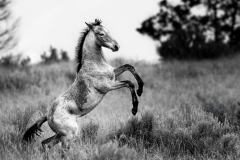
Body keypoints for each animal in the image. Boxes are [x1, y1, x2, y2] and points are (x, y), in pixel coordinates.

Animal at [23, 18, 144, 154]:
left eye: (108, 31)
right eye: (101, 33)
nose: (116, 46)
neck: (94, 65)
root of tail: (48, 116)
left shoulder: (113, 74)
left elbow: (129, 67)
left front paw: (141, 88)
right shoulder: (109, 86)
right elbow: (129, 83)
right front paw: (134, 109)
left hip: (61, 135)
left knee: (45, 144)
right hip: (68, 135)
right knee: (60, 150)